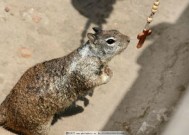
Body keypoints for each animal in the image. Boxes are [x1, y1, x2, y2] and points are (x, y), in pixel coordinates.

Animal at [0, 27, 130, 135]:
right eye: (110, 41)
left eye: (116, 30)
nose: (129, 39)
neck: (90, 54)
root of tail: (6, 110)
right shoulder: (86, 74)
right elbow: (95, 81)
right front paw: (108, 75)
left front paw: (108, 69)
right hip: (39, 126)